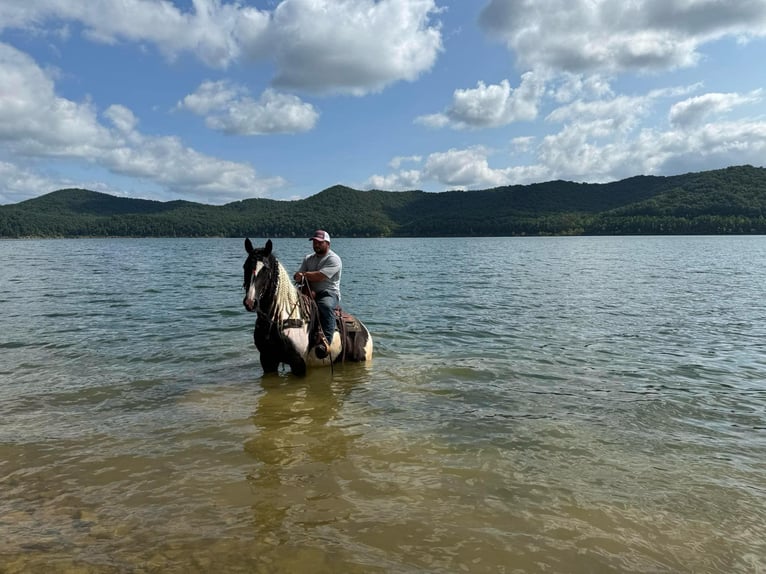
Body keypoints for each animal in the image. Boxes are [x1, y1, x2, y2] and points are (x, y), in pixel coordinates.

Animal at [242, 238, 373, 376]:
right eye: (245, 266)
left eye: (265, 269)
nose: (250, 302)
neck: (277, 319)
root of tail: (364, 330)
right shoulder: (267, 360)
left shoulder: (298, 363)